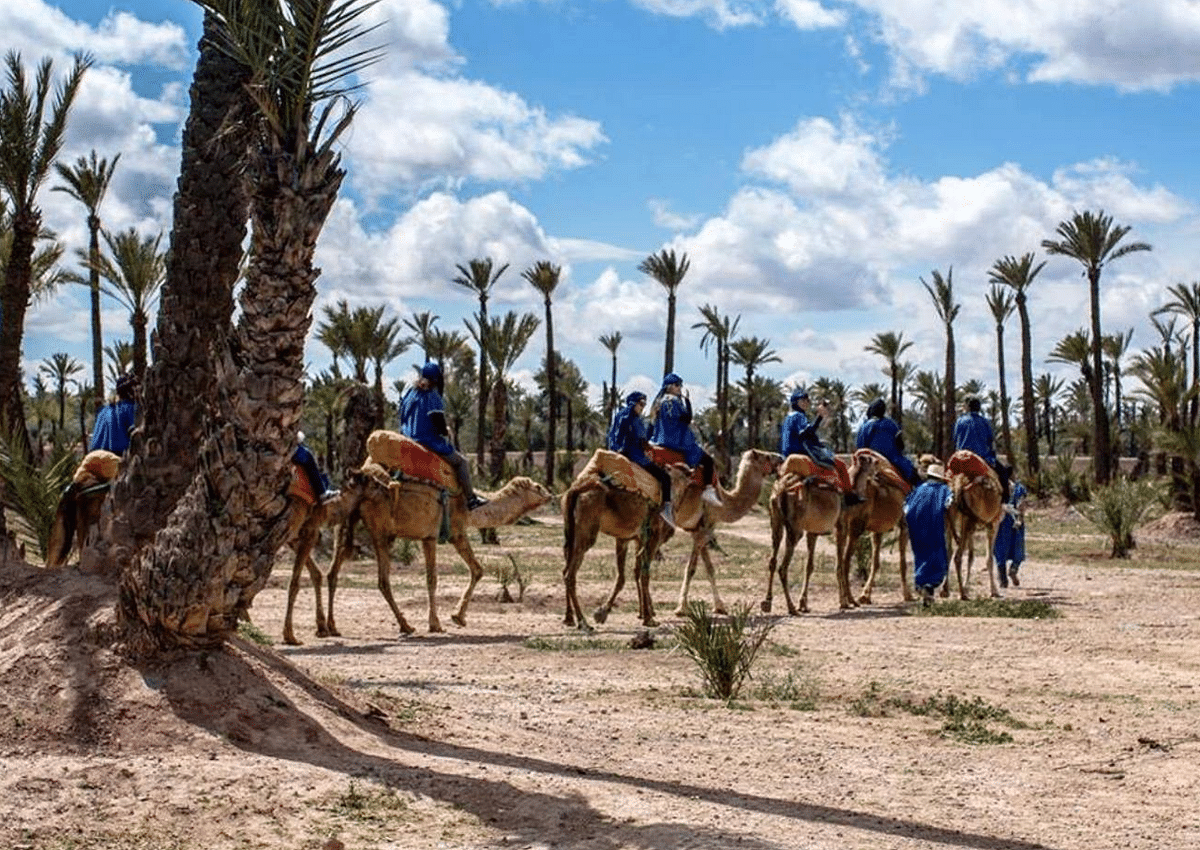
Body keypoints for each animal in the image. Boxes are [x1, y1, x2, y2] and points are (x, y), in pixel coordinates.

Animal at [304, 465, 552, 638]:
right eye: (538, 487)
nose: (551, 494)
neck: (469, 505)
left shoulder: (430, 537)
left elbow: (475, 570)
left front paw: (456, 617)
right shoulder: (445, 534)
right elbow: (438, 577)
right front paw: (441, 622)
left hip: (345, 525)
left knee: (334, 573)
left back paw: (331, 627)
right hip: (380, 533)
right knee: (382, 580)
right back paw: (405, 625)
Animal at [561, 449, 696, 629]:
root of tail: (576, 489)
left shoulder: (628, 538)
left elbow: (628, 574)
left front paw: (641, 613)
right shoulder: (653, 536)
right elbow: (644, 573)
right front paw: (649, 618)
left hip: (571, 531)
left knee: (565, 569)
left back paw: (569, 617)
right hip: (587, 531)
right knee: (570, 574)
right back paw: (583, 621)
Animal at [672, 449, 782, 614]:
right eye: (767, 457)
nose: (781, 457)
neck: (723, 502)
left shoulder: (702, 529)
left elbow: (710, 568)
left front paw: (720, 606)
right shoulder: (703, 529)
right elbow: (691, 568)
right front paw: (682, 608)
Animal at [758, 453, 844, 614]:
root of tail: (781, 489)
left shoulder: (813, 532)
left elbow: (809, 566)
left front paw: (803, 603)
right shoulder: (841, 526)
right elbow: (840, 564)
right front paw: (845, 602)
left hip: (776, 521)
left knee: (773, 559)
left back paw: (767, 601)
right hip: (796, 529)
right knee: (783, 568)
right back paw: (791, 607)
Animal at [840, 449, 912, 607]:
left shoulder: (876, 530)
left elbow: (875, 562)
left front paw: (865, 596)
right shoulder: (904, 525)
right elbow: (902, 563)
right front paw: (908, 595)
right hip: (855, 527)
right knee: (845, 560)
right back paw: (849, 599)